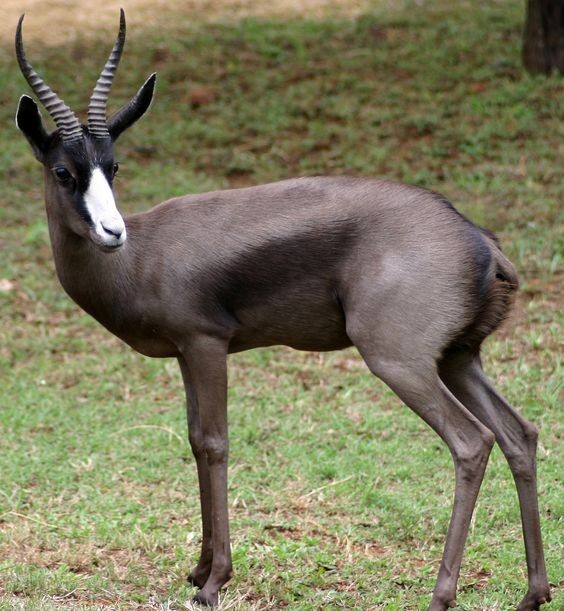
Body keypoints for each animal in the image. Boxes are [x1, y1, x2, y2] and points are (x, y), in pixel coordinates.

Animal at [14, 10, 552, 611]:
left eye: (113, 165)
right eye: (64, 171)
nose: (112, 232)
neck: (142, 257)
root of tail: (478, 240)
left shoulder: (206, 345)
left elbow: (215, 443)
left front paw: (215, 581)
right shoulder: (184, 355)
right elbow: (194, 441)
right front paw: (197, 568)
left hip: (401, 363)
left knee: (472, 442)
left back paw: (441, 595)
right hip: (459, 359)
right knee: (519, 435)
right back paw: (533, 593)